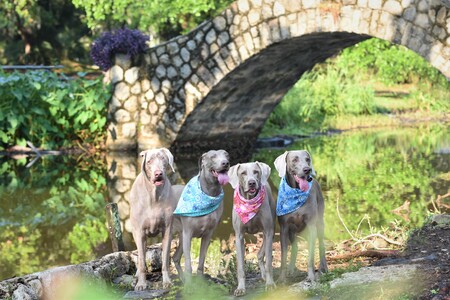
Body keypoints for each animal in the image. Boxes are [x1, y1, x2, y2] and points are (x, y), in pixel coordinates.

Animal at [128, 148, 185, 290]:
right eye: (149, 161)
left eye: (163, 159)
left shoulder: (167, 230)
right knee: (141, 256)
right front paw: (141, 284)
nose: (158, 173)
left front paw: (167, 281)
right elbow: (142, 262)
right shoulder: (139, 232)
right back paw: (136, 278)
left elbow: (165, 259)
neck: (153, 194)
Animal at [171, 149, 230, 282]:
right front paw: (190, 284)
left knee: (175, 257)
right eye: (213, 156)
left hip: (181, 235)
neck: (209, 194)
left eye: (226, 155)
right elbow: (188, 263)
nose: (225, 163)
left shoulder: (208, 234)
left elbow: (202, 259)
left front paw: (200, 282)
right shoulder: (188, 233)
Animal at [229, 162, 278, 296]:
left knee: (261, 253)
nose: (252, 183)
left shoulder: (268, 230)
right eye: (243, 173)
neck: (249, 201)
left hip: (271, 230)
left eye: (256, 171)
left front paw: (270, 284)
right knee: (260, 254)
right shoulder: (239, 236)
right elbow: (240, 266)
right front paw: (240, 288)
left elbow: (269, 262)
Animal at [272, 150, 328, 284]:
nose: (307, 170)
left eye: (307, 159)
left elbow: (310, 257)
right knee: (295, 246)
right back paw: (291, 270)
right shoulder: (284, 228)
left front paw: (311, 277)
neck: (295, 191)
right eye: (295, 160)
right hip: (292, 230)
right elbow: (283, 257)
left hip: (320, 223)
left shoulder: (311, 226)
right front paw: (281, 279)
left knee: (321, 245)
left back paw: (323, 268)